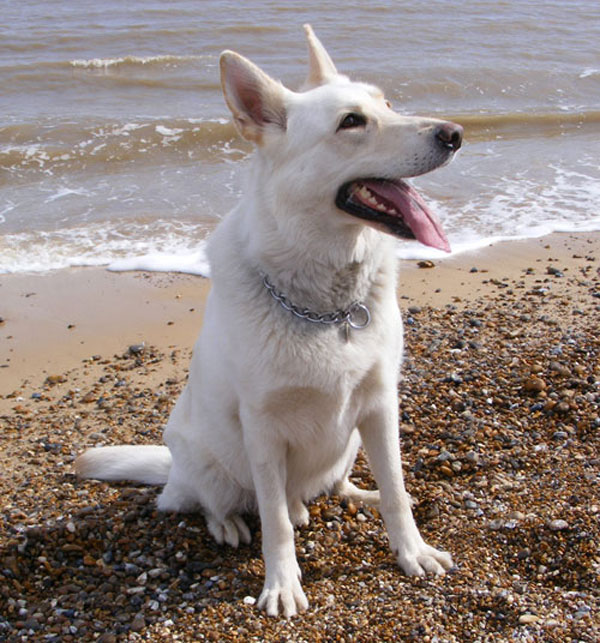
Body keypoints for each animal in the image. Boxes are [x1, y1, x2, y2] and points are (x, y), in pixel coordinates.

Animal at [77, 26, 462, 620]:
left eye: (387, 104)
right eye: (352, 122)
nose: (455, 133)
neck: (328, 305)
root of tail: (173, 468)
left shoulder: (380, 405)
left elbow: (397, 490)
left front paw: (411, 549)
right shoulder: (261, 426)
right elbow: (276, 524)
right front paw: (281, 583)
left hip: (350, 444)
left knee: (333, 489)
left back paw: (357, 495)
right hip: (202, 455)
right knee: (222, 503)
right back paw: (229, 523)